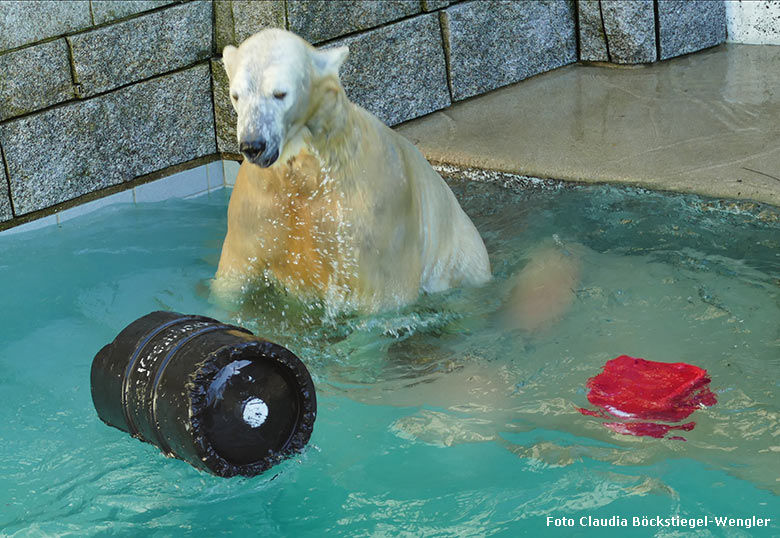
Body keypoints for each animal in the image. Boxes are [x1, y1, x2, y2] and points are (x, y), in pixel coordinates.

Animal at [212, 29, 494, 312]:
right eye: (236, 95)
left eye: (280, 93)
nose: (253, 145)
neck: (311, 169)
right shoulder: (258, 206)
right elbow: (235, 274)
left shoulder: (371, 211)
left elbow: (386, 294)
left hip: (463, 260)